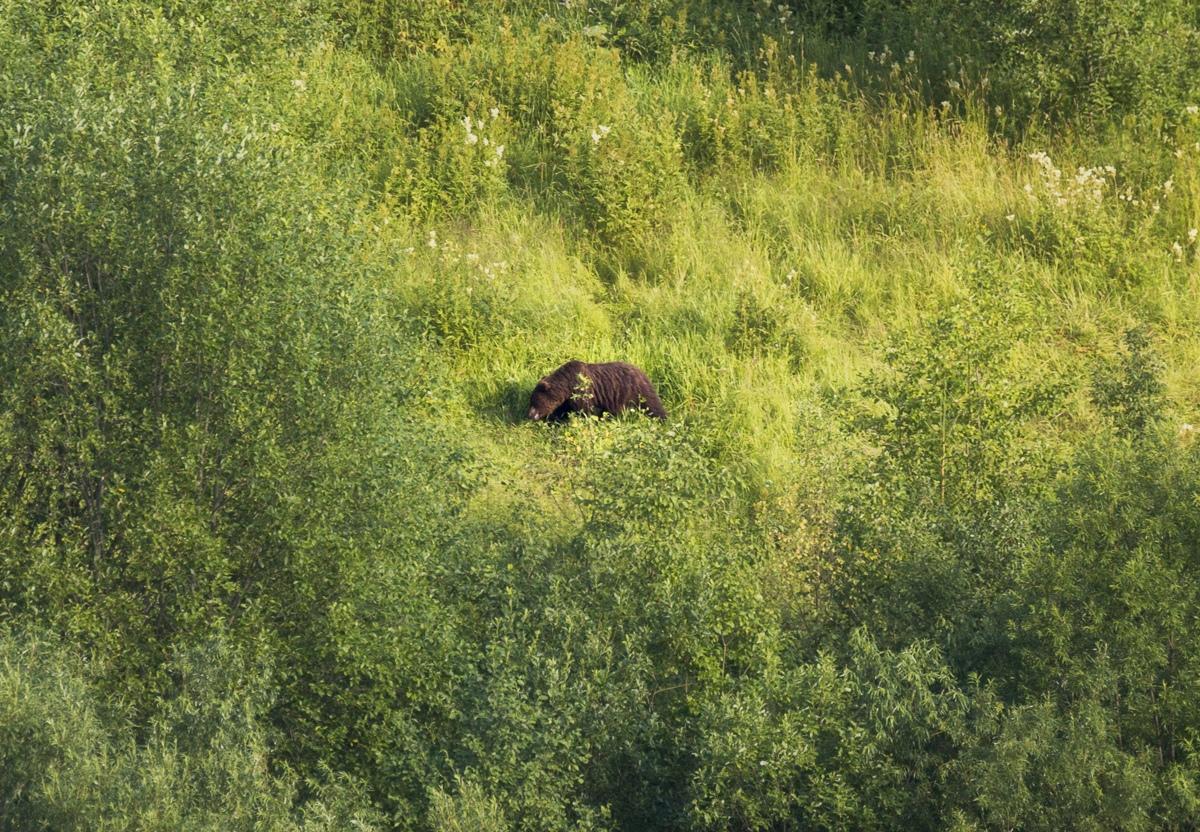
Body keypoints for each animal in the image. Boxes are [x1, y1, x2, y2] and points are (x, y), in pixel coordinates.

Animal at [530, 357, 672, 422]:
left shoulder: (582, 391)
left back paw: (663, 419)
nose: (530, 415)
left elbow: (586, 411)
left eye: (534, 401)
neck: (567, 384)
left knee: (652, 405)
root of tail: (643, 372)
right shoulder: (568, 399)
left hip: (635, 390)